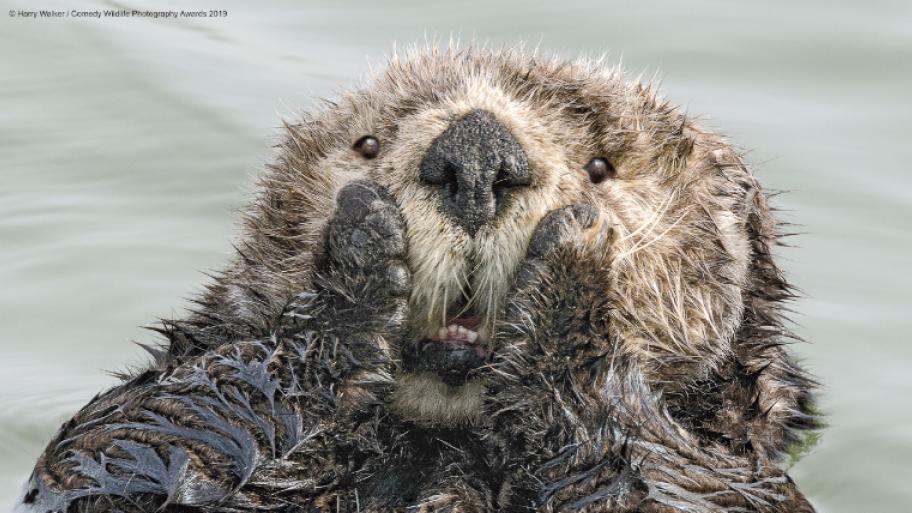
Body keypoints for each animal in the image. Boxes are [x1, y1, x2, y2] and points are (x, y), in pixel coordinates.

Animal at [15, 48, 819, 513]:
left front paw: (572, 271)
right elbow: (116, 448)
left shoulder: (735, 467)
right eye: (368, 144)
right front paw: (359, 258)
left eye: (601, 167)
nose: (475, 153)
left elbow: (682, 489)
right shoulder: (121, 450)